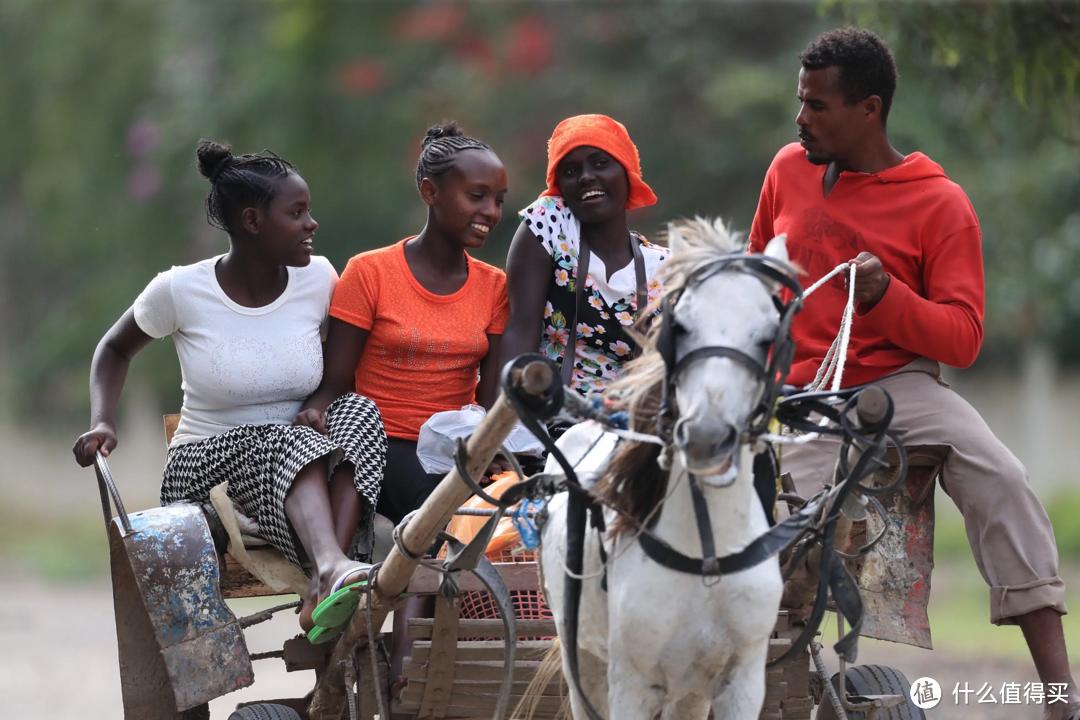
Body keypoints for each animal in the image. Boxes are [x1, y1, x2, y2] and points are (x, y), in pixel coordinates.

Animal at [540, 220, 794, 720]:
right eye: (679, 327)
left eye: (768, 336)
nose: (706, 437)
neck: (706, 552)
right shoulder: (631, 684)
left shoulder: (742, 681)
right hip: (580, 656)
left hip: (690, 692)